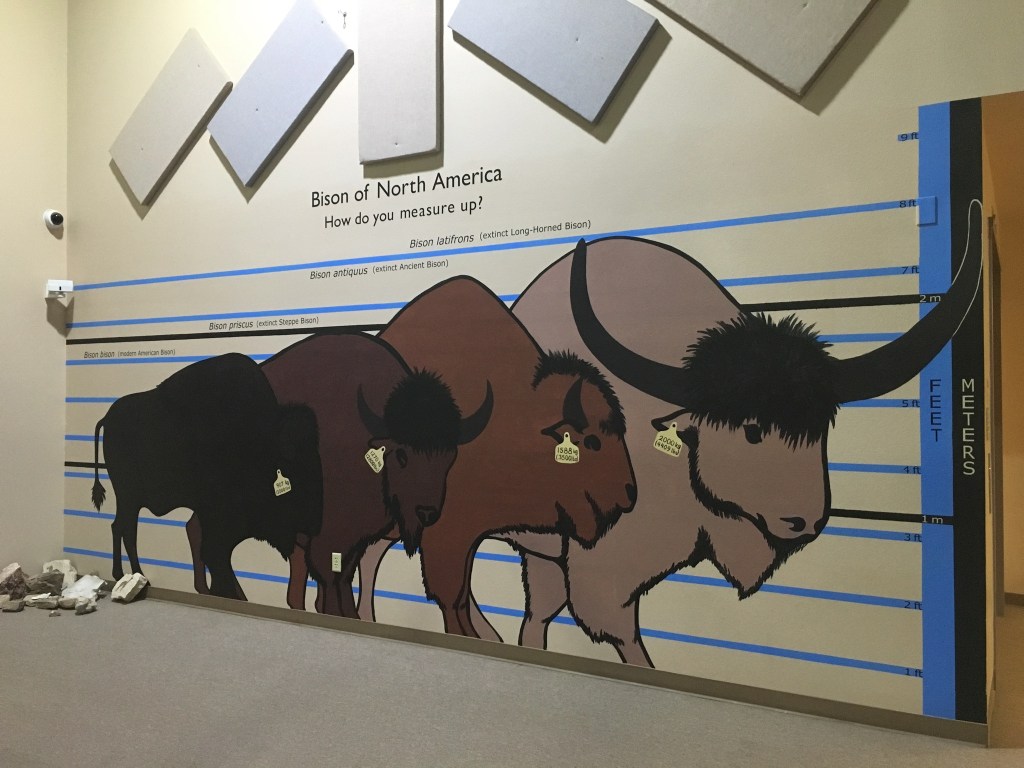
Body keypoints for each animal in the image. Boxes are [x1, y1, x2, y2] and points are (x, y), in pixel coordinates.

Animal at [91, 353, 322, 600]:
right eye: (297, 467)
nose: (313, 524)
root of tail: (107, 418)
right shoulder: (217, 519)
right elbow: (215, 557)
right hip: (129, 497)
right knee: (127, 530)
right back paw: (137, 576)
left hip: (129, 500)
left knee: (119, 527)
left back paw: (124, 575)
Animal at [255, 333, 492, 618]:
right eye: (401, 455)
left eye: (449, 457)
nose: (426, 512)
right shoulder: (327, 543)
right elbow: (331, 589)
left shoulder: (354, 541)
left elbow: (344, 583)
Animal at [354, 276, 637, 637]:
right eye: (592, 441)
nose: (629, 492)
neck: (516, 416)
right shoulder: (446, 535)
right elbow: (451, 597)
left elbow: (460, 596)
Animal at [475, 227, 983, 666]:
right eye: (752, 430)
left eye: (820, 428)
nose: (803, 521)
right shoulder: (603, 572)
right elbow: (621, 634)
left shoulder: (559, 557)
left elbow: (542, 612)